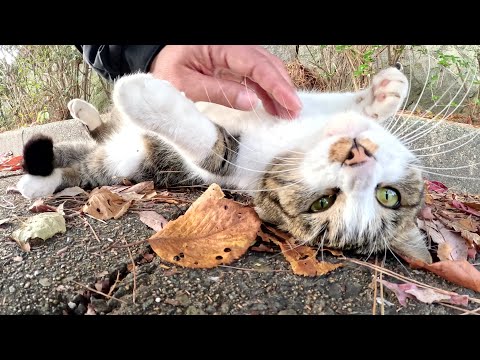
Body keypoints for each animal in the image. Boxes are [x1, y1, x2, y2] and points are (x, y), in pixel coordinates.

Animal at [16, 64, 434, 262]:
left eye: (322, 202)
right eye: (390, 195)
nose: (358, 157)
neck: (299, 140)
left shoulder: (234, 167)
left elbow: (211, 148)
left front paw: (142, 94)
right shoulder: (300, 104)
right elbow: (316, 99)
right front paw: (384, 92)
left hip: (127, 161)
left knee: (90, 163)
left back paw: (36, 182)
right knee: (97, 135)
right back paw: (81, 113)